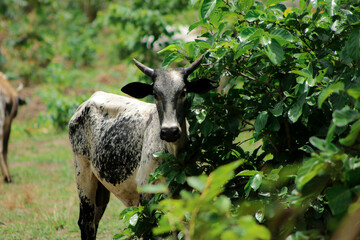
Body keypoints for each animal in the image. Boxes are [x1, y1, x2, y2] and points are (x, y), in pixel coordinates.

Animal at [69, 55, 218, 239]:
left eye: (183, 92)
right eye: (155, 94)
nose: (170, 131)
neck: (172, 154)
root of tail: (87, 102)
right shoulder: (147, 195)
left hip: (101, 186)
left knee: (94, 221)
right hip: (82, 175)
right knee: (86, 223)